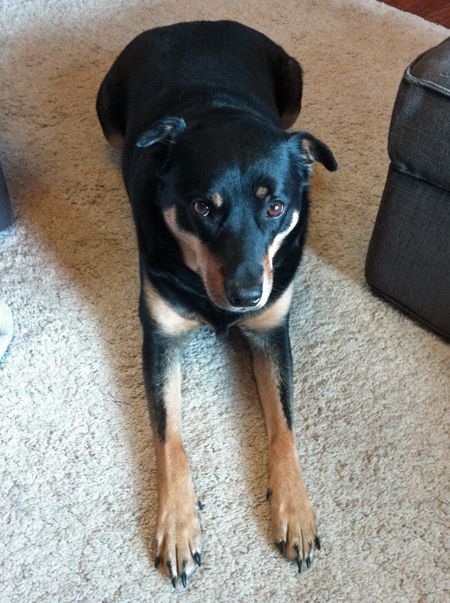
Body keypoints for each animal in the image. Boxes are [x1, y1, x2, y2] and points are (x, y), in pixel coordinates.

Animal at [96, 20, 336, 588]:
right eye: (204, 207)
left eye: (276, 207)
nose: (247, 295)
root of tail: (190, 23)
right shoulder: (160, 338)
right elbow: (169, 439)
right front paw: (178, 526)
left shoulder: (271, 332)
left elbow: (284, 427)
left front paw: (295, 511)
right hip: (107, 109)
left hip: (293, 81)